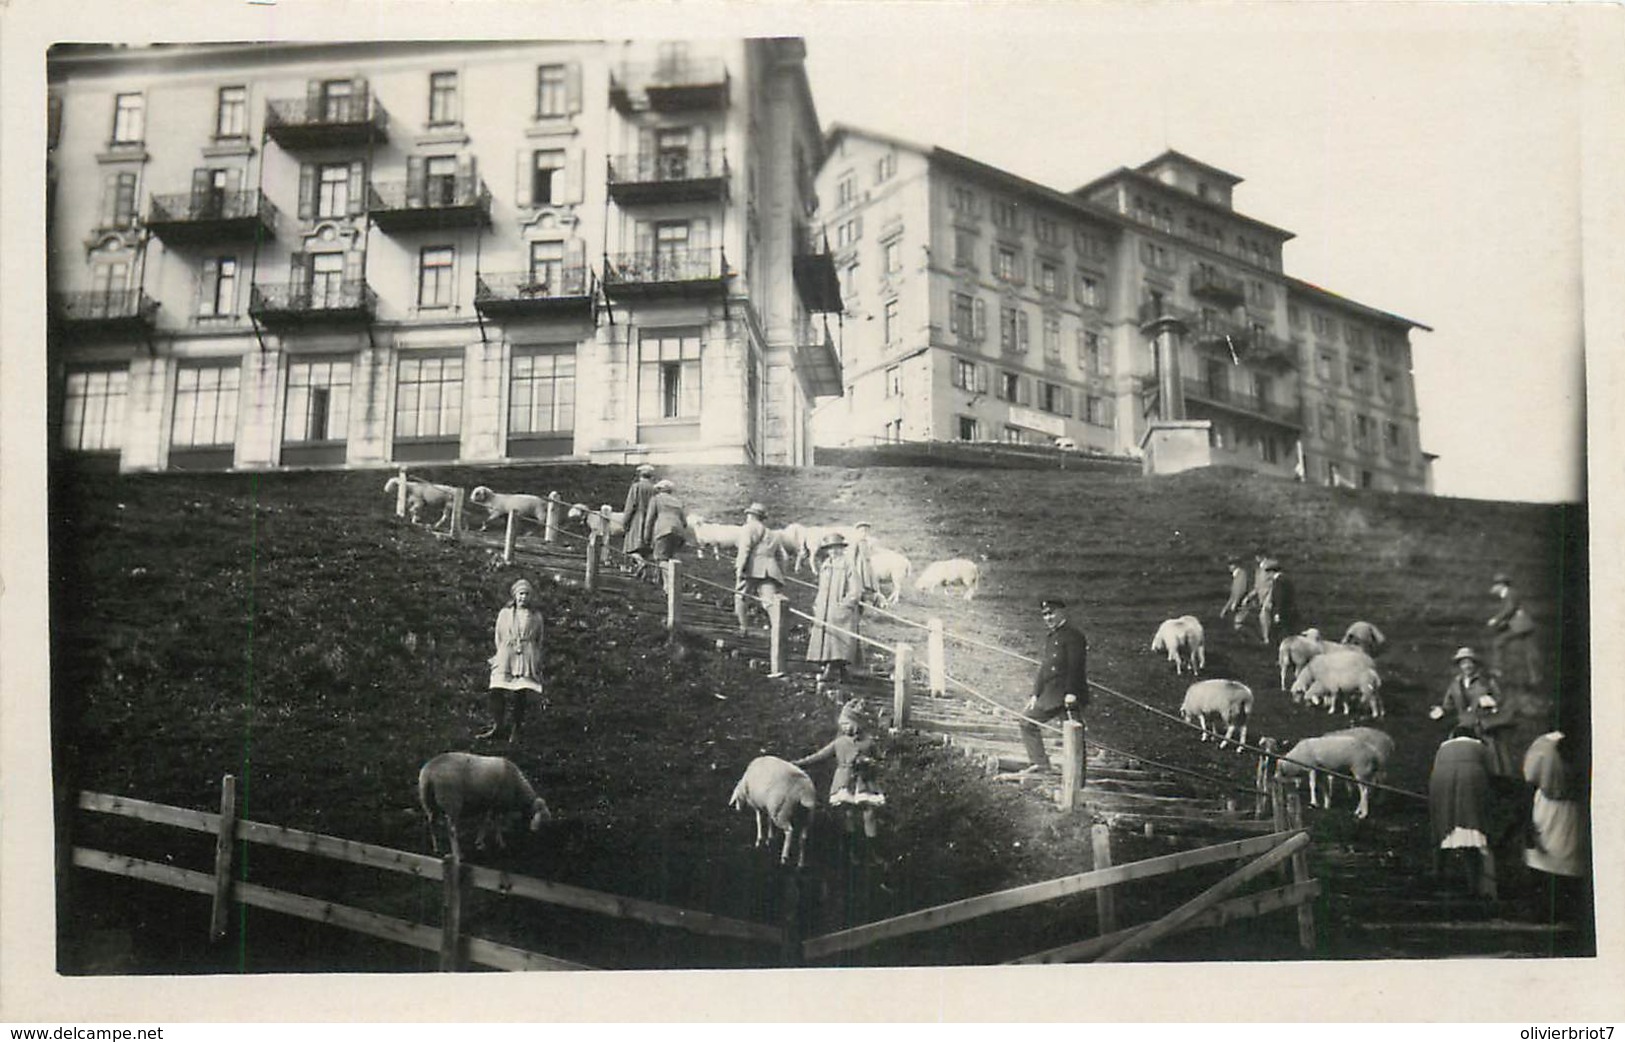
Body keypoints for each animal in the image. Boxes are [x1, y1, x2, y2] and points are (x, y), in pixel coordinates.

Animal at [419, 751, 552, 858]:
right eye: (543, 818)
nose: (544, 839)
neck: (517, 787)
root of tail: (429, 773)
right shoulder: (497, 804)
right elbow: (495, 823)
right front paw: (500, 843)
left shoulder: (486, 804)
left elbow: (483, 821)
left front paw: (479, 842)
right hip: (452, 801)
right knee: (452, 829)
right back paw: (458, 854)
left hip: (429, 803)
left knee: (431, 823)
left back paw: (436, 848)